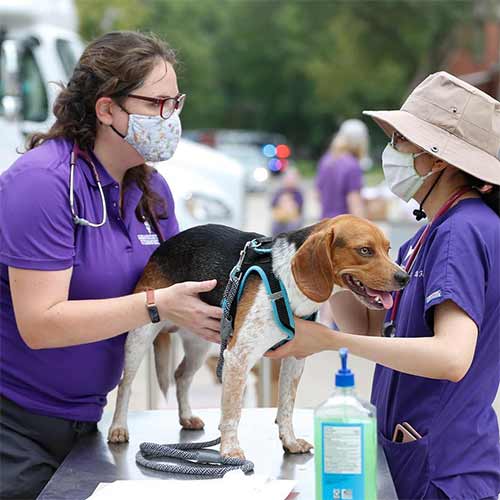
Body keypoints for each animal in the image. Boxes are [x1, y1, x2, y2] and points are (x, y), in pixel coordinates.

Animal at [107, 215, 408, 458]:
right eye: (365, 250)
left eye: (388, 249)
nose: (404, 278)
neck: (286, 279)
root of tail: (163, 246)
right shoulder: (237, 356)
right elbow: (232, 411)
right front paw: (230, 450)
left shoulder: (294, 359)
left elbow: (286, 406)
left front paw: (289, 441)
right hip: (140, 336)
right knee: (125, 384)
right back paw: (118, 427)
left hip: (200, 344)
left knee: (181, 376)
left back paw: (186, 417)